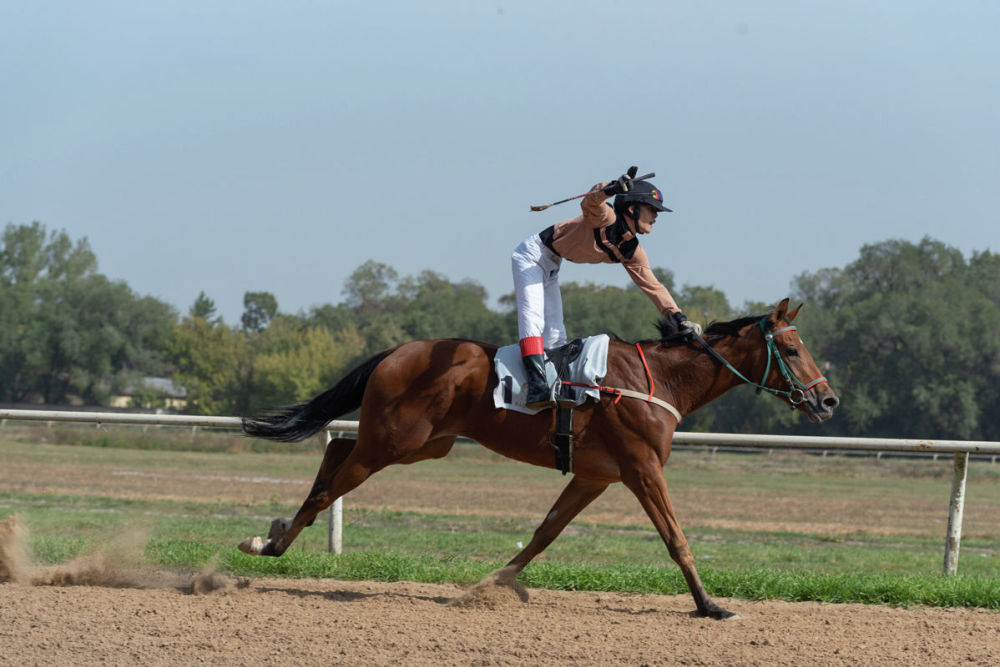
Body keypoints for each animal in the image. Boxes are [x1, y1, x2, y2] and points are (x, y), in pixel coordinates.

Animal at [236, 298, 836, 620]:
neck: (657, 382)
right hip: (395, 440)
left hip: (426, 442)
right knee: (334, 476)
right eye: (791, 348)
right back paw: (271, 542)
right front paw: (710, 606)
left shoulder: (595, 476)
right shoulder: (642, 469)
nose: (828, 400)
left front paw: (489, 585)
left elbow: (545, 532)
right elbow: (676, 539)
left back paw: (275, 532)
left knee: (338, 447)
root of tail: (397, 351)